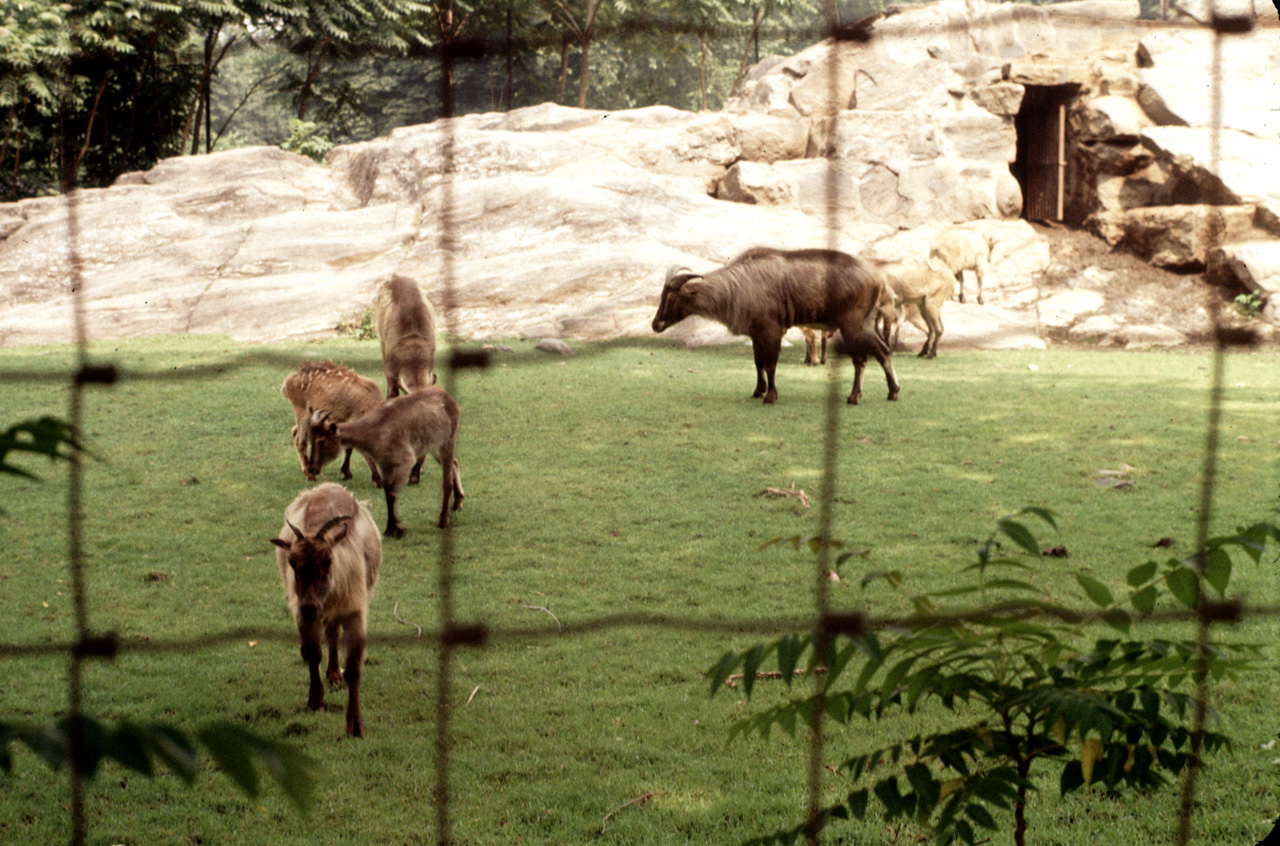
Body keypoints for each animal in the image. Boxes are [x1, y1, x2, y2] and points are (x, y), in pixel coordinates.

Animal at [271, 483, 381, 737]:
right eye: (292, 563)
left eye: (328, 560)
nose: (309, 606)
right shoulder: (303, 614)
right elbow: (314, 655)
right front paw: (315, 701)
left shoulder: (353, 611)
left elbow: (353, 668)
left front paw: (355, 726)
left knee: (332, 632)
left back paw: (334, 674)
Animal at [305, 383, 463, 534]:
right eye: (310, 439)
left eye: (321, 441)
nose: (311, 468)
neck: (375, 432)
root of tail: (451, 401)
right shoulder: (385, 465)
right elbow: (387, 492)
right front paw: (393, 527)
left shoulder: (406, 461)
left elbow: (392, 493)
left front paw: (393, 529)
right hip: (434, 447)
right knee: (455, 463)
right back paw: (457, 503)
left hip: (447, 441)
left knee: (446, 480)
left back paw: (443, 521)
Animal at [650, 245, 901, 404]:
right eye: (662, 296)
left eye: (672, 298)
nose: (656, 325)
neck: (740, 285)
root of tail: (877, 279)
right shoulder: (756, 334)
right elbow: (758, 362)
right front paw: (758, 391)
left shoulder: (772, 330)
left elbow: (770, 364)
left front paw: (771, 396)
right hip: (866, 325)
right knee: (882, 351)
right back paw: (892, 392)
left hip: (852, 327)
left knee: (863, 359)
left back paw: (855, 397)